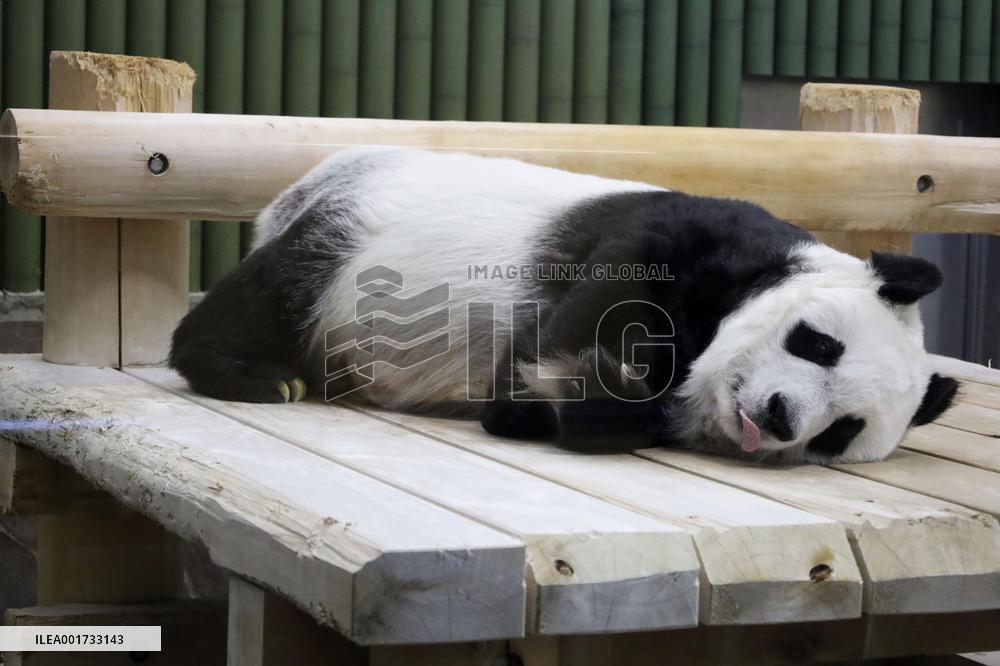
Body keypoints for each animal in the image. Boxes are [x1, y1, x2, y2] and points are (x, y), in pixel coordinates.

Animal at [169, 147, 959, 464]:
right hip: (348, 243)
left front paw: (570, 397)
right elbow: (605, 289)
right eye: (818, 344)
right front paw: (567, 377)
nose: (779, 416)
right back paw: (258, 375)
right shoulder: (691, 236)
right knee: (273, 292)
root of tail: (298, 188)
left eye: (841, 432)